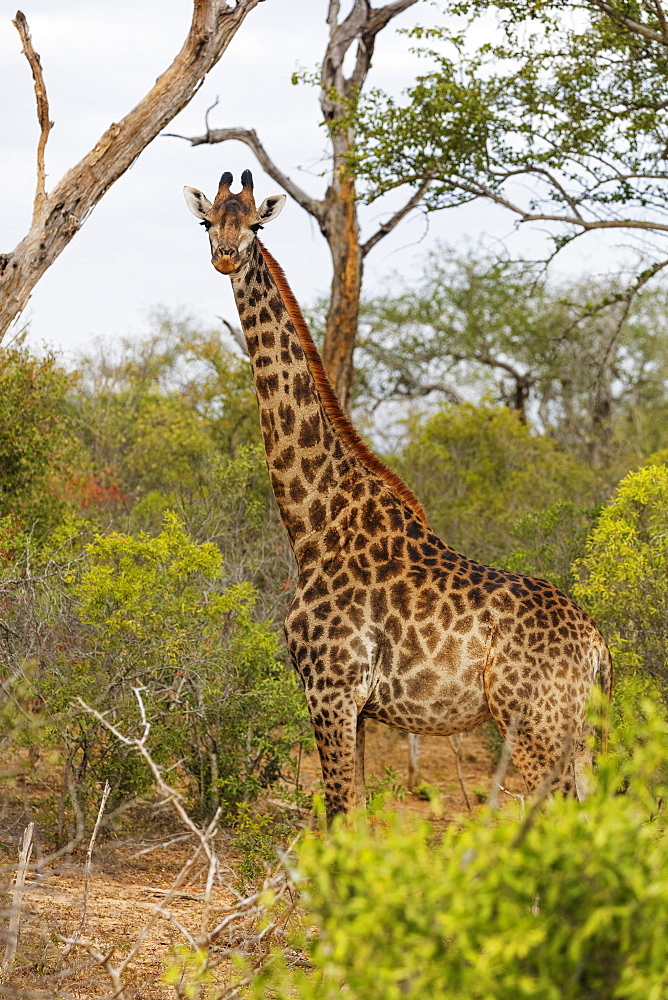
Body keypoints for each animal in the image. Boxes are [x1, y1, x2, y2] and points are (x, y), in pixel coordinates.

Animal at [185, 168, 612, 816]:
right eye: (208, 220)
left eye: (256, 224)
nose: (226, 256)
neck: (312, 522)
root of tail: (597, 645)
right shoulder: (354, 706)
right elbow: (354, 813)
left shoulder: (331, 689)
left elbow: (341, 812)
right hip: (576, 731)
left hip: (535, 724)